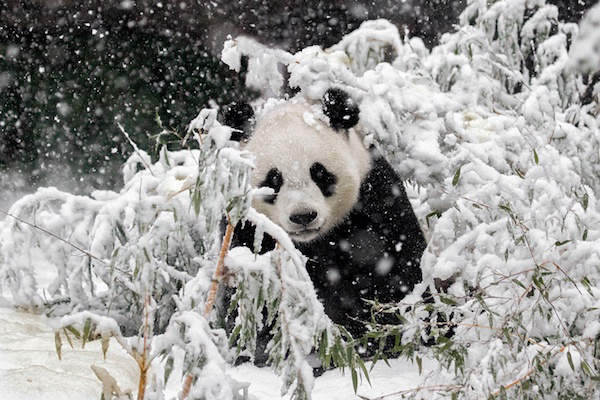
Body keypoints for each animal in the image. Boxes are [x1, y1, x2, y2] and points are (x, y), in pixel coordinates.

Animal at [224, 89, 426, 340]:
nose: (303, 216)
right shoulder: (248, 229)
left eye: (320, 174)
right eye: (273, 180)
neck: (315, 243)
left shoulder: (378, 203)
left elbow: (400, 273)